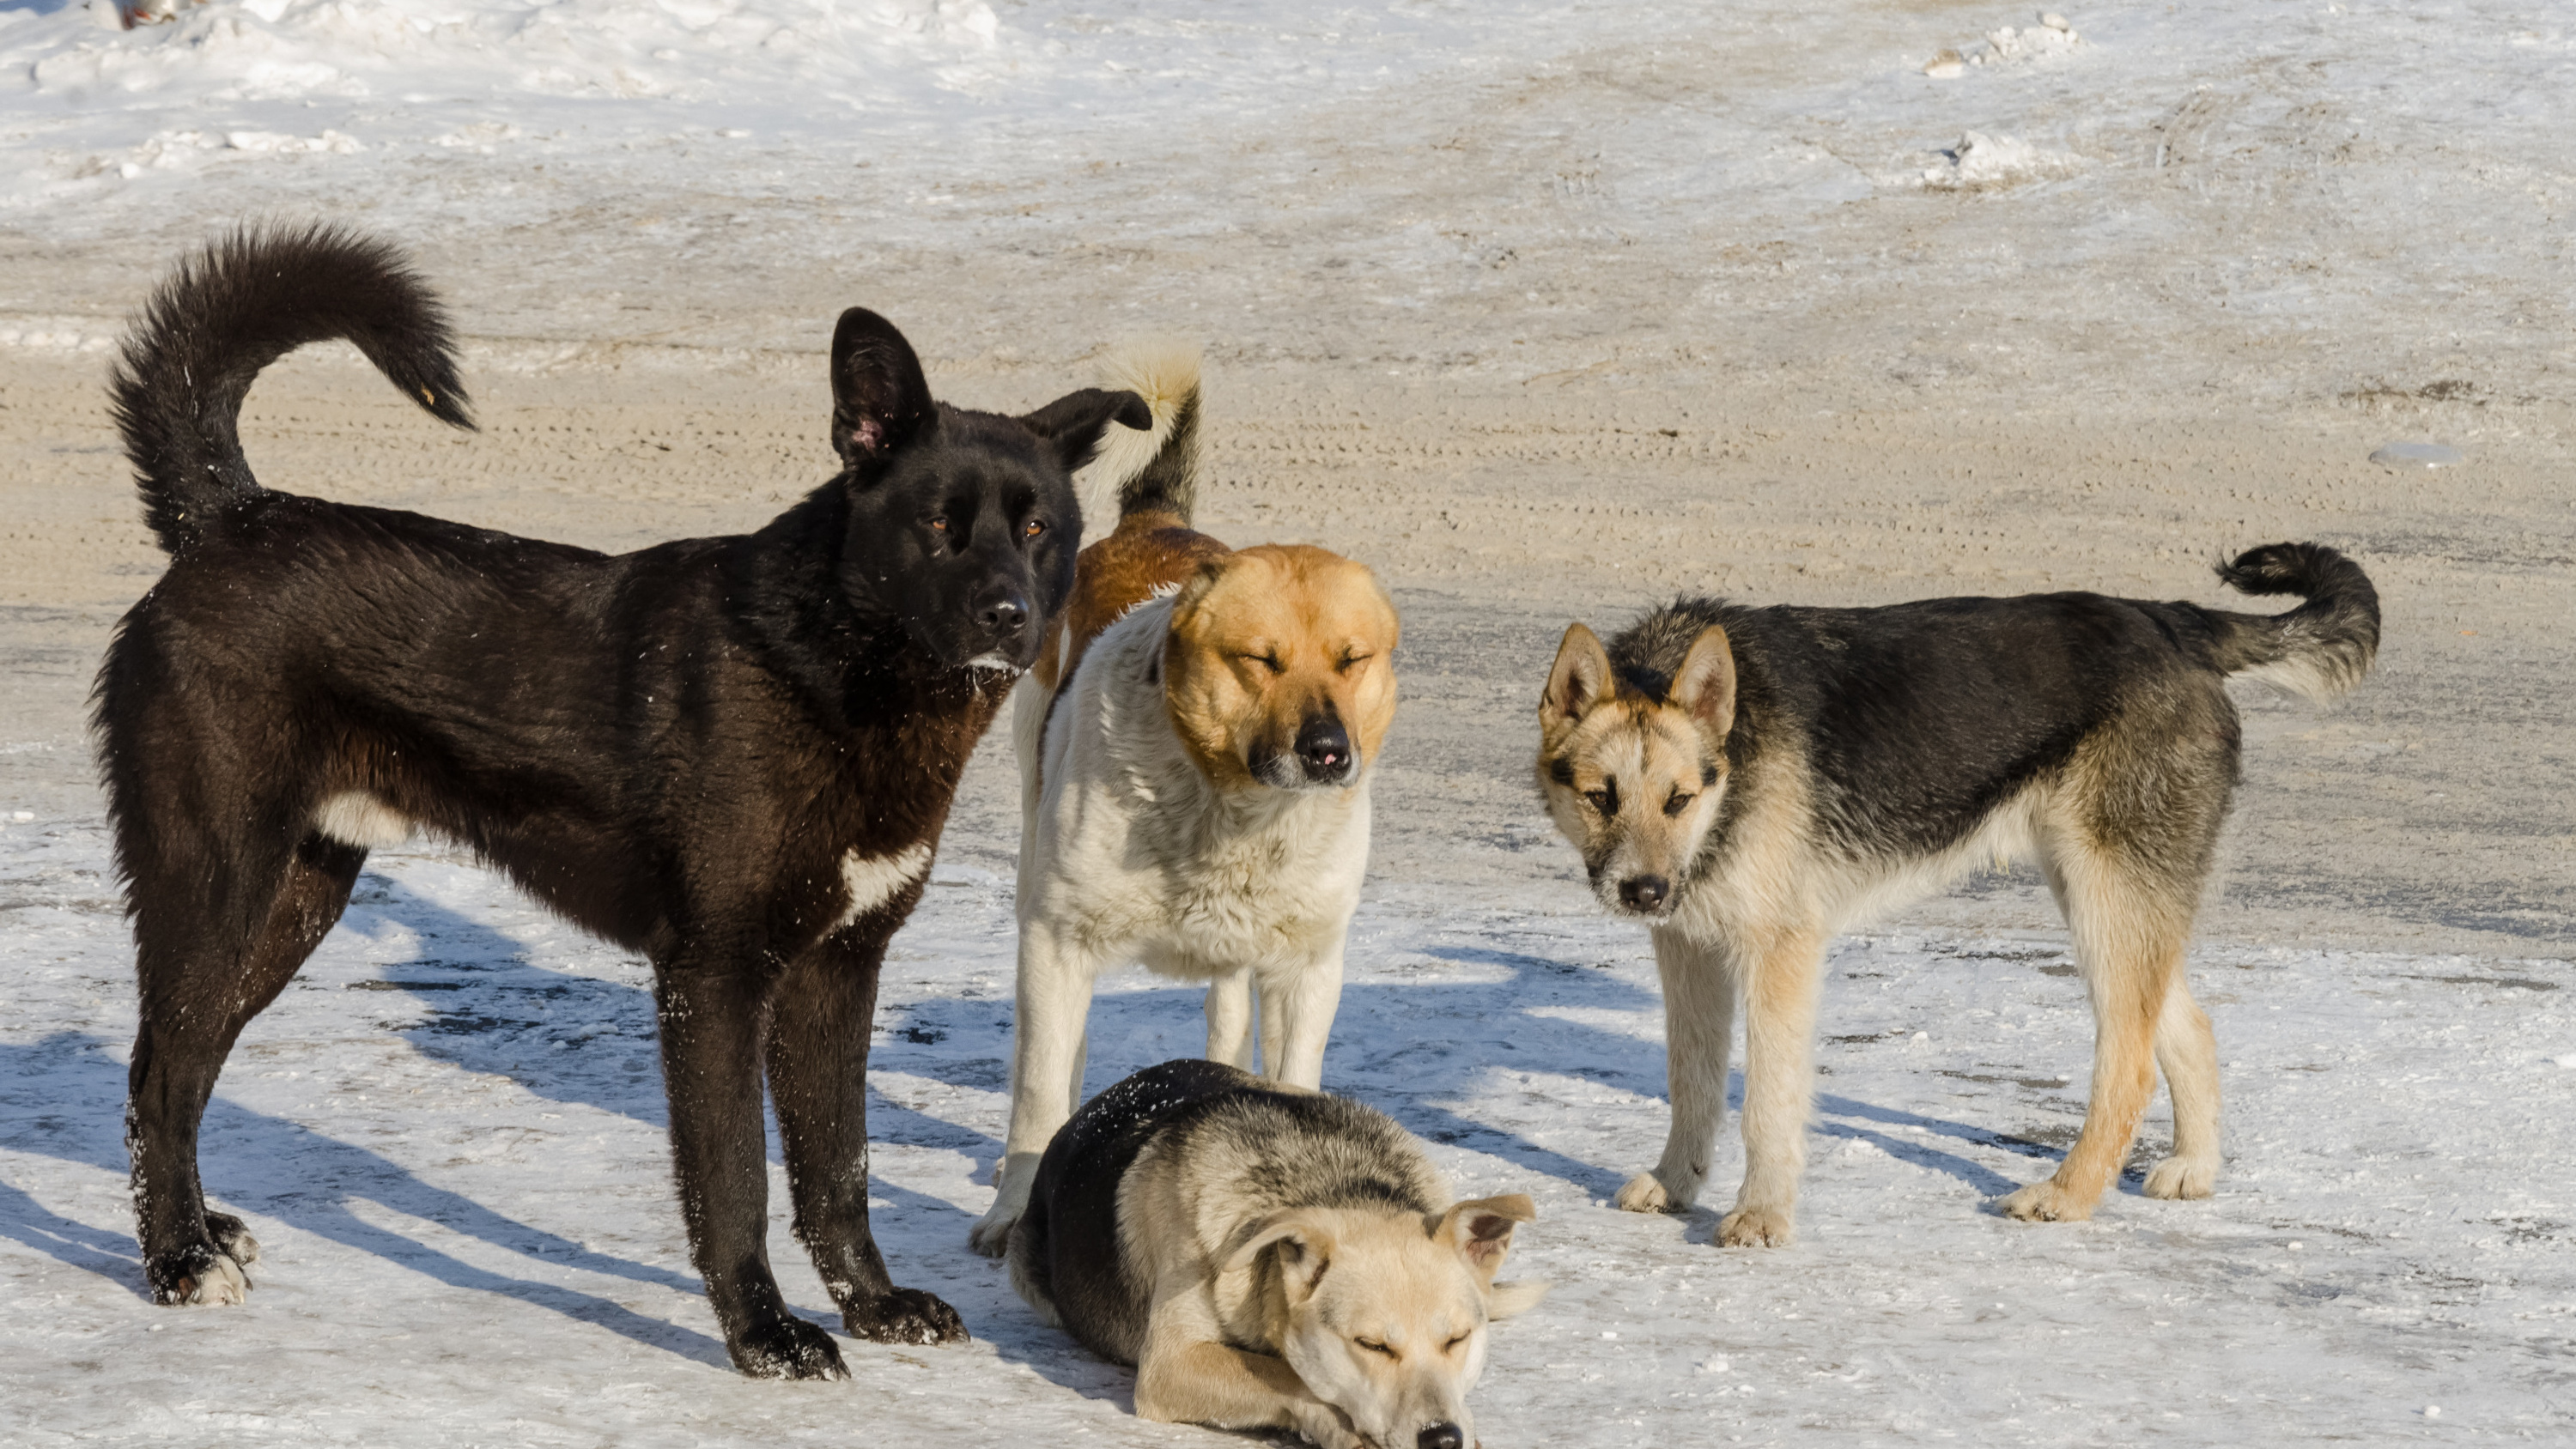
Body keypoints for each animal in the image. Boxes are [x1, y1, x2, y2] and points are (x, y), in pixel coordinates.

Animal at [95, 221, 1154, 1379]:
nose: (1010, 616)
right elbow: (736, 1180)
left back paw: (204, 1230)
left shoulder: (838, 970)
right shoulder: (715, 977)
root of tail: (229, 518)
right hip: (217, 886)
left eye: (1038, 528)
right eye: (936, 523)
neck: (837, 668)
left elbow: (839, 1171)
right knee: (159, 1073)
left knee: (180, 1072)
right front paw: (767, 1335)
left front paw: (873, 1307)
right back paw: (178, 1262)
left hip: (291, 904)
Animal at [969, 352, 1412, 1261]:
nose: (1328, 752)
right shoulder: (1058, 943)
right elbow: (1038, 1093)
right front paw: (1013, 1211)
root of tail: (1156, 521)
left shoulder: (1307, 966)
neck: (1230, 811)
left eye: (1352, 659)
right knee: (1052, 1053)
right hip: (1036, 857)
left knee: (1226, 1012)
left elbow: (1289, 1079)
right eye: (1260, 660)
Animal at [1005, 1055, 1535, 1449]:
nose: (1441, 1438)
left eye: (1457, 1340)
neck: (1336, 1183)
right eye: (1372, 1345)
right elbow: (1284, 1373)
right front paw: (1336, 1424)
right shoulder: (1170, 1364)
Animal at [1535, 545, 2380, 1246]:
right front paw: (1676, 1184)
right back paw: (2192, 1170)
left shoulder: (1779, 956)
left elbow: (1767, 1106)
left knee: (2129, 1066)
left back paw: (2069, 1195)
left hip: (2106, 906)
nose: (1643, 891)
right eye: (1602, 797)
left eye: (1678, 800)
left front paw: (1762, 1216)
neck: (1731, 771)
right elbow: (1693, 1082)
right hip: (2108, 905)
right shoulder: (1687, 949)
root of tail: (2172, 622)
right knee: (2187, 1031)